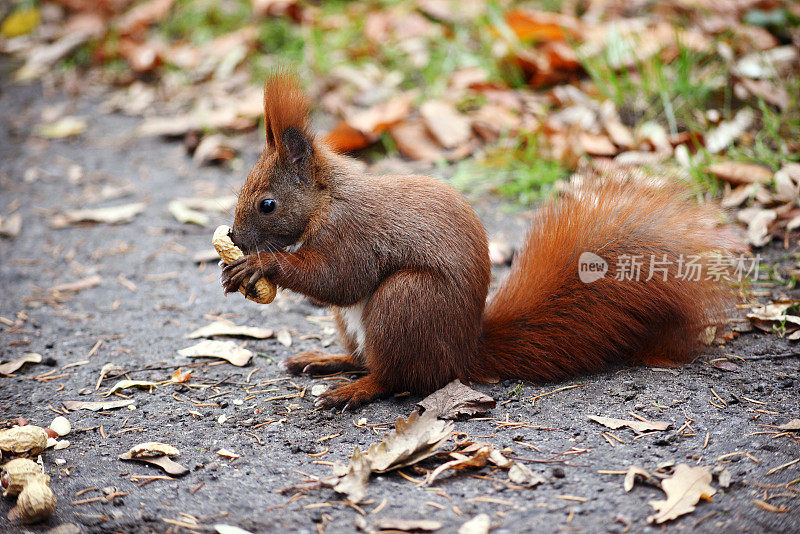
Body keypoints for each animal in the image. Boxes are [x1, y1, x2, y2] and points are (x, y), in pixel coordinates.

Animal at [219, 72, 732, 410]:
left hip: (405, 302)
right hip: (360, 323)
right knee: (363, 358)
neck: (327, 199)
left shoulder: (354, 231)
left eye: (267, 204)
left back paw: (354, 390)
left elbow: (340, 278)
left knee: (396, 377)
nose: (235, 237)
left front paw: (261, 265)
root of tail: (463, 350)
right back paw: (327, 361)